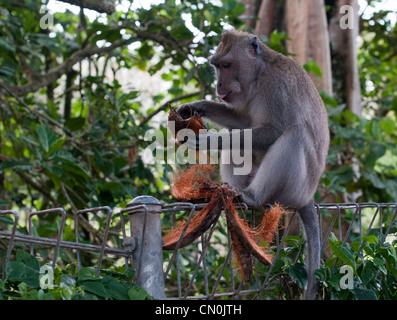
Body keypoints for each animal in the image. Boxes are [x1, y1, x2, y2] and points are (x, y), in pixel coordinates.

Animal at [177, 30, 332, 300]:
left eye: (226, 65)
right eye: (216, 66)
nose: (218, 86)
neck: (258, 75)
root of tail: (308, 196)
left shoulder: (277, 86)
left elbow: (274, 130)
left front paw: (210, 140)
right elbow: (242, 122)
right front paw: (197, 106)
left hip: (295, 189)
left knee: (295, 134)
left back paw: (252, 196)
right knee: (240, 139)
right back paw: (225, 191)